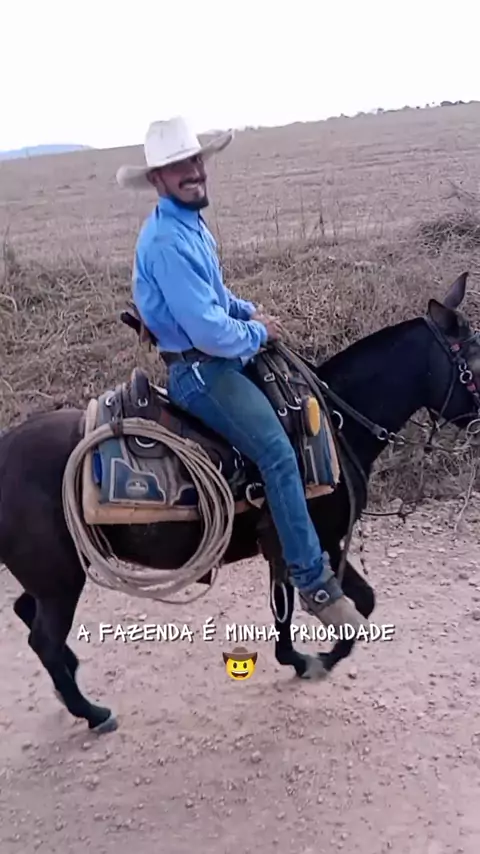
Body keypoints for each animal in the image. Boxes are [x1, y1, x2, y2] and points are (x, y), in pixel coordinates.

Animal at [0, 272, 479, 736]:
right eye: (473, 368)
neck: (338, 425)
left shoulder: (300, 544)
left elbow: (329, 604)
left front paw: (300, 659)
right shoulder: (311, 538)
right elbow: (334, 609)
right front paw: (321, 659)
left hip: (54, 572)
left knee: (27, 612)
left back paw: (70, 679)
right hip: (59, 578)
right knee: (42, 639)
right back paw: (92, 712)